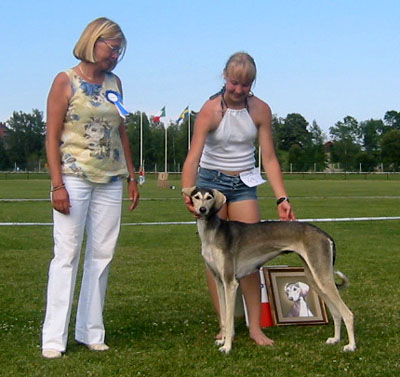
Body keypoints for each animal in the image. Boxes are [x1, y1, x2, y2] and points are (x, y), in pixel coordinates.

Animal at [183, 187, 354, 354]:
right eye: (196, 197)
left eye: (209, 197)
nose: (203, 209)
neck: (213, 232)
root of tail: (325, 235)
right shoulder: (219, 282)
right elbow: (225, 317)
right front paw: (223, 340)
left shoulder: (230, 282)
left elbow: (230, 319)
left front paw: (227, 347)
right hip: (314, 278)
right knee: (336, 313)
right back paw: (335, 339)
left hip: (322, 278)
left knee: (347, 314)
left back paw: (351, 346)